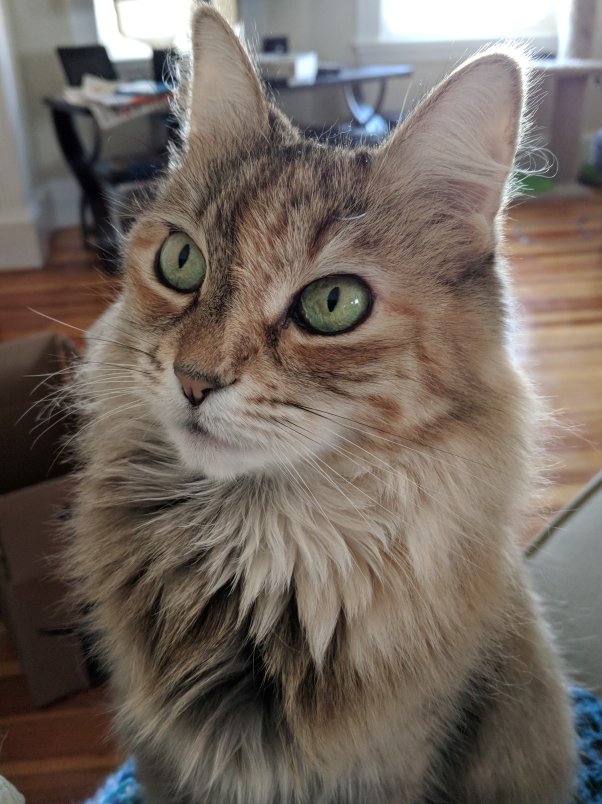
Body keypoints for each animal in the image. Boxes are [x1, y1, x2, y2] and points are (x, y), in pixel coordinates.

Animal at [66, 5, 577, 802]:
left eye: (333, 304)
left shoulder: (390, 764)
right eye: (181, 262)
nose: (193, 379)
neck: (253, 558)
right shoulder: (160, 761)